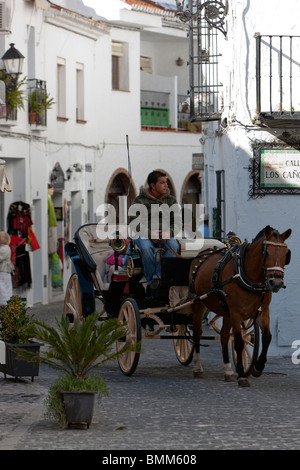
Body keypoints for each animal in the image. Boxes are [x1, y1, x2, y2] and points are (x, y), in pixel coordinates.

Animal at [190, 227, 290, 386]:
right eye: (266, 252)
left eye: (286, 254)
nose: (276, 283)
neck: (249, 277)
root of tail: (201, 255)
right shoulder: (236, 313)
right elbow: (238, 342)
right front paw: (242, 375)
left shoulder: (263, 311)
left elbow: (267, 337)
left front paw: (258, 367)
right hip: (198, 304)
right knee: (197, 333)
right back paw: (198, 367)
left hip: (225, 311)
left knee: (224, 336)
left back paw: (228, 370)